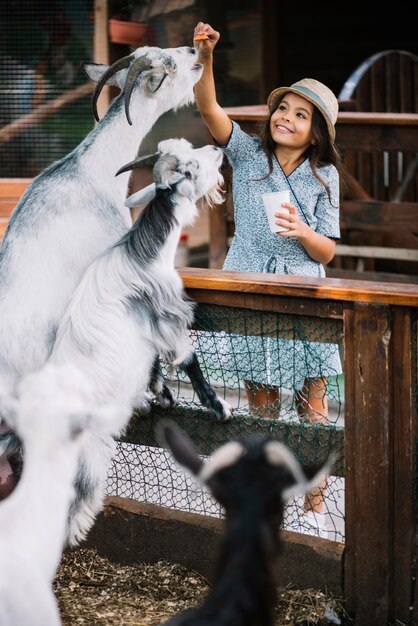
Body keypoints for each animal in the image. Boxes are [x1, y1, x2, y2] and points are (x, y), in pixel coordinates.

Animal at [39, 138, 232, 544]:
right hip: (90, 450)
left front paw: (161, 394)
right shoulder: (169, 315)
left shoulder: (145, 331)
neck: (145, 254)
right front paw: (219, 407)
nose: (218, 150)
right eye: (190, 167)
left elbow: (154, 360)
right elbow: (187, 358)